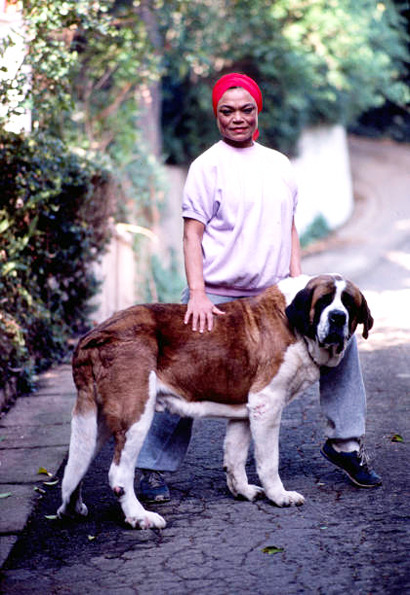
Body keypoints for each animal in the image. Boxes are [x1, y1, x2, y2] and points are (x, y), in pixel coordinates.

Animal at [57, 274, 374, 532]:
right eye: (324, 302)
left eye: (348, 304)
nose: (337, 317)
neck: (296, 326)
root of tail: (92, 336)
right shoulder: (267, 403)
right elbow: (268, 460)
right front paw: (280, 496)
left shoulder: (246, 410)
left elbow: (234, 456)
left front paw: (242, 491)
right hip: (136, 414)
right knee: (118, 473)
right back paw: (139, 517)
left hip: (97, 420)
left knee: (78, 464)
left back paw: (72, 507)